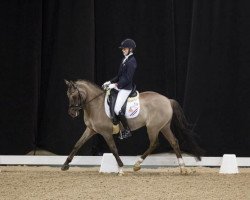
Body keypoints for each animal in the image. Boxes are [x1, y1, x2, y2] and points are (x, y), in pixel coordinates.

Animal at [62, 79, 203, 175]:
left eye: (74, 96)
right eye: (67, 96)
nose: (71, 113)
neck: (96, 105)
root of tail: (168, 100)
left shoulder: (106, 133)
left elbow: (113, 149)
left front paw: (120, 168)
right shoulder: (91, 130)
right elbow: (77, 145)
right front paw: (65, 164)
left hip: (153, 127)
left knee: (154, 143)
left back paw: (137, 164)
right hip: (164, 127)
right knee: (174, 142)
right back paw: (183, 168)